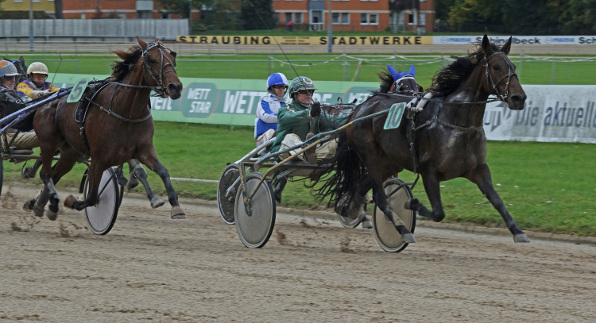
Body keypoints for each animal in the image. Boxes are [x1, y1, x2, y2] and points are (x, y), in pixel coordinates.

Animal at [26, 37, 184, 220]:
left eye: (172, 58)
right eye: (152, 60)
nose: (175, 87)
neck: (125, 110)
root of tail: (44, 103)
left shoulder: (144, 150)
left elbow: (163, 171)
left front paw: (175, 205)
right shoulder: (99, 159)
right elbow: (92, 197)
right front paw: (72, 202)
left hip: (70, 152)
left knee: (54, 174)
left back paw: (42, 205)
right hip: (48, 142)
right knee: (45, 174)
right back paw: (51, 201)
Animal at [316, 34, 532, 243]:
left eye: (512, 66)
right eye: (496, 67)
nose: (519, 98)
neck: (457, 121)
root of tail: (359, 110)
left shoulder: (479, 169)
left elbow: (497, 201)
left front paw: (518, 231)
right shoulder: (429, 171)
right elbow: (438, 213)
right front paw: (412, 203)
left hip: (389, 162)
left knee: (363, 184)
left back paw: (349, 210)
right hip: (371, 157)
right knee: (380, 196)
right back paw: (402, 229)